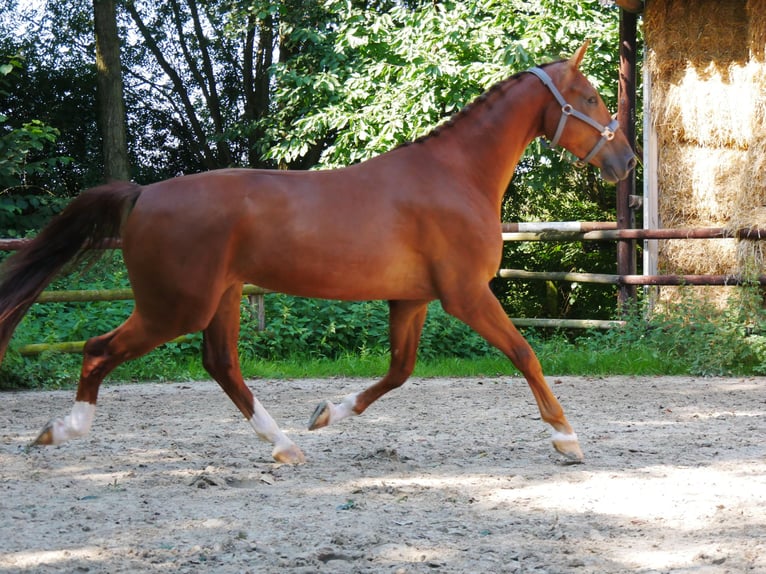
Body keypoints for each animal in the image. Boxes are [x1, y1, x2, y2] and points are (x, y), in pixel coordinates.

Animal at [0, 45, 636, 468]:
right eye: (590, 97)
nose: (626, 160)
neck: (456, 176)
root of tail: (142, 193)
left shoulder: (412, 299)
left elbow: (399, 371)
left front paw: (327, 413)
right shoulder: (465, 295)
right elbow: (525, 352)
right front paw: (567, 438)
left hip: (219, 298)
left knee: (221, 365)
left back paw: (286, 445)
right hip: (173, 307)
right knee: (99, 349)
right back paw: (61, 431)